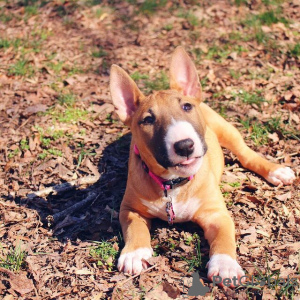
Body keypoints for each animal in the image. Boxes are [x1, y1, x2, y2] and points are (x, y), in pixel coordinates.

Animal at [108, 46, 296, 286]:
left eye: (186, 106)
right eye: (148, 120)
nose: (185, 145)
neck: (173, 184)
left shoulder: (217, 214)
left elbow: (224, 239)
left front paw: (225, 265)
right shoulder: (130, 208)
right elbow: (135, 227)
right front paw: (134, 253)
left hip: (226, 130)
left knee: (246, 155)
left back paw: (276, 171)